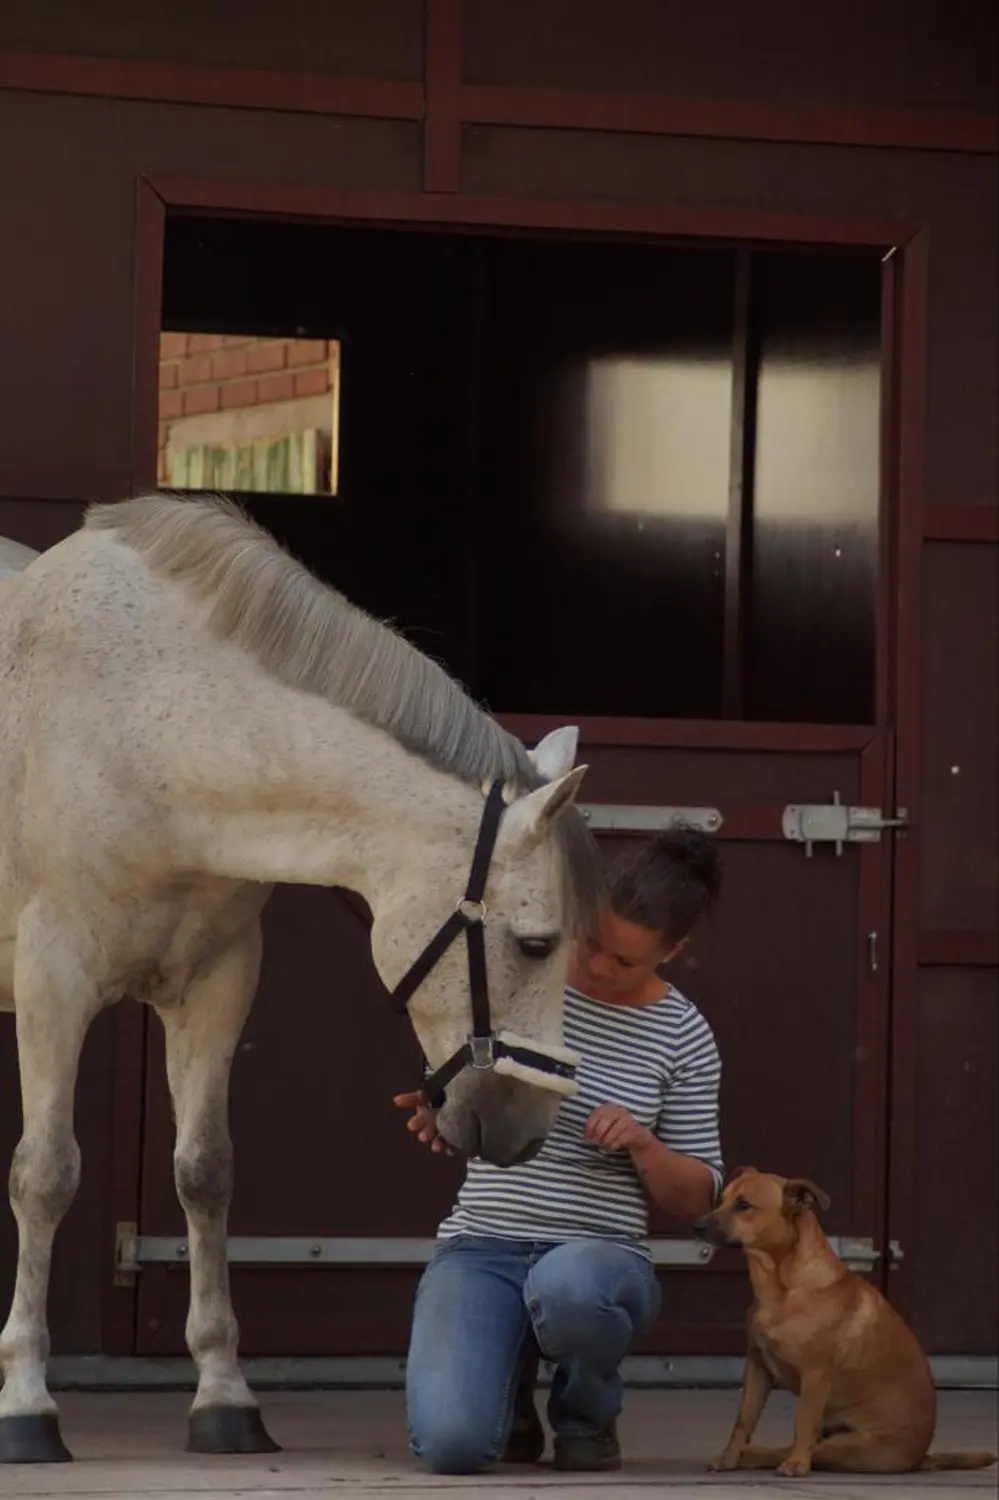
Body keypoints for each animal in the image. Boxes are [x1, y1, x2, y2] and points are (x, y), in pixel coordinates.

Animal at [0, 498, 600, 1458]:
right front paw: (26, 1403)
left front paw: (225, 1400)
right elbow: (47, 1173)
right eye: (539, 944)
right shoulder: (54, 978)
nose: (522, 1131)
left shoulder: (215, 983)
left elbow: (204, 1172)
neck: (145, 726)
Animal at [693, 1170, 996, 1476]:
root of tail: (919, 1458)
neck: (781, 1286)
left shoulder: (815, 1375)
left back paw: (767, 1456)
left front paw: (796, 1463)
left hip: (844, 1445)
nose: (696, 1226)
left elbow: (803, 1420)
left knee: (798, 1447)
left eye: (743, 1205)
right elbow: (744, 1419)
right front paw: (729, 1457)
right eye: (721, 1200)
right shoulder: (757, 1369)